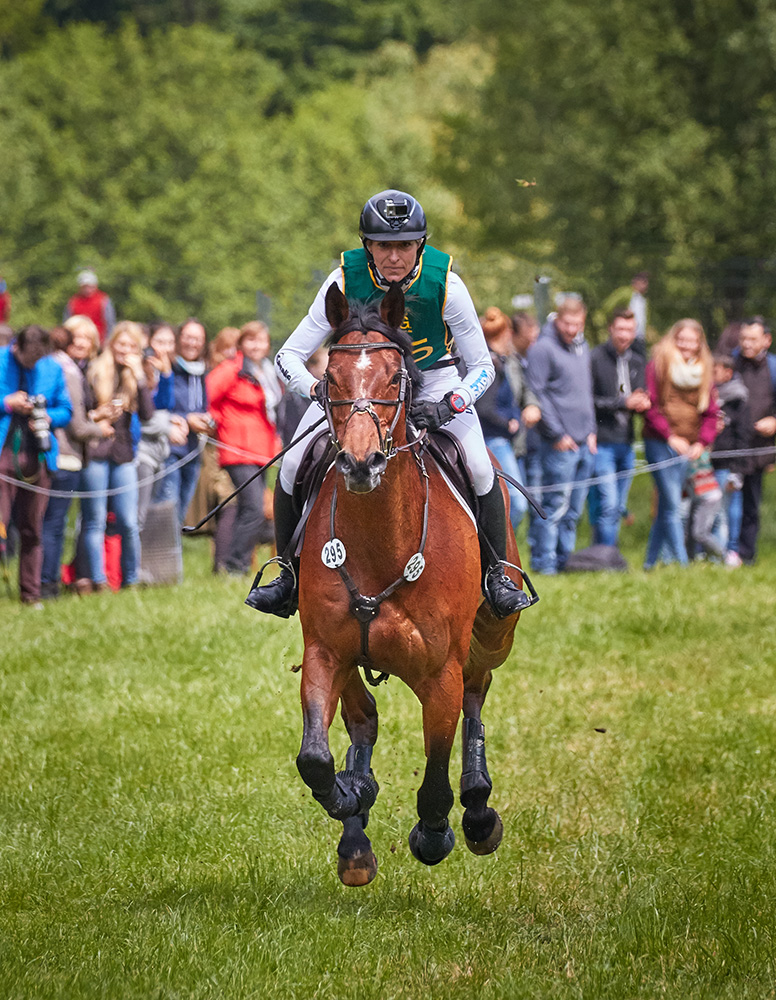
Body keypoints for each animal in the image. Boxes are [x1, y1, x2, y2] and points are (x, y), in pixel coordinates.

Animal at [294, 280, 524, 884]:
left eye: (395, 378)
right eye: (330, 378)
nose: (361, 463)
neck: (380, 541)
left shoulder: (440, 672)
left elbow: (437, 771)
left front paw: (435, 831)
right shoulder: (325, 650)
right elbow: (317, 757)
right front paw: (350, 796)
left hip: (493, 635)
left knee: (476, 697)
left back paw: (478, 810)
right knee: (363, 722)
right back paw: (356, 831)